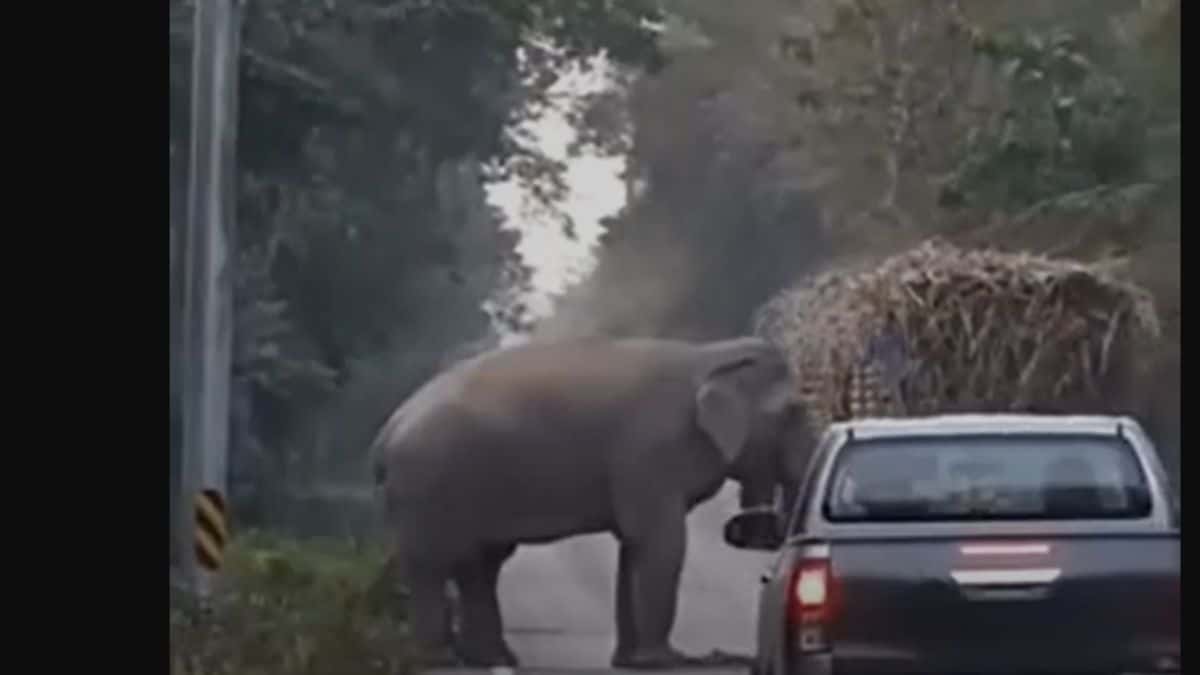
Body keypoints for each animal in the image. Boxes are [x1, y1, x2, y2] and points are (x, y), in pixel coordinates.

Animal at [369, 336, 811, 667]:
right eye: (795, 412)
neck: (711, 355)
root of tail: (387, 433)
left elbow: (634, 546)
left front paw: (632, 662)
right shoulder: (651, 453)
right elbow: (660, 543)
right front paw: (666, 660)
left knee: (479, 564)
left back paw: (491, 658)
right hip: (428, 483)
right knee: (434, 565)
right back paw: (439, 659)